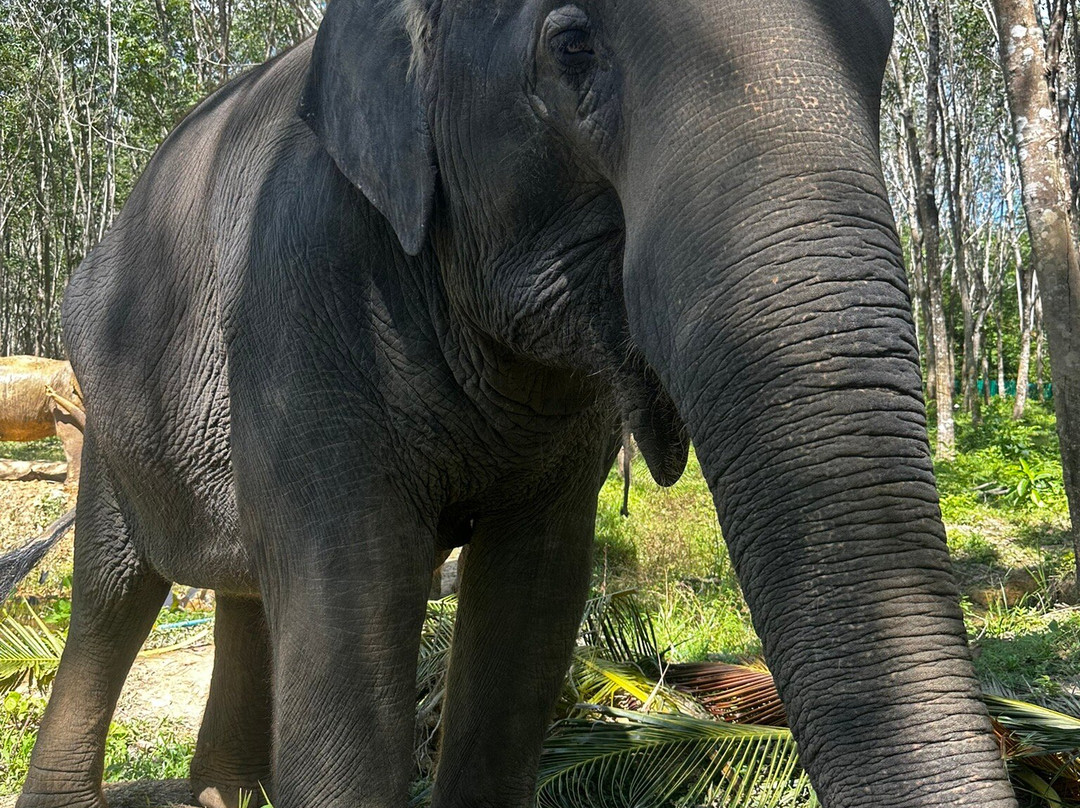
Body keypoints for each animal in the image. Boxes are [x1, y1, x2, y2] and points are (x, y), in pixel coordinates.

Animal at [11, 0, 1018, 806]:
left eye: (882, 38)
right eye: (571, 46)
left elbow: (533, 600)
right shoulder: (301, 280)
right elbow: (352, 592)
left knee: (243, 586)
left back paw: (227, 795)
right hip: (105, 409)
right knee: (111, 596)